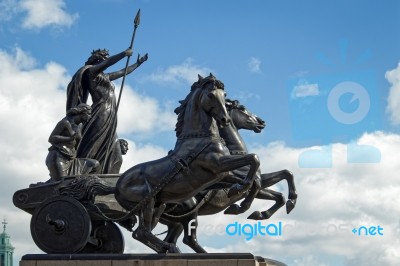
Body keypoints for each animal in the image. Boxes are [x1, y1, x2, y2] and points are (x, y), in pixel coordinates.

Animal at [114, 74, 260, 252]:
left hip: (157, 206)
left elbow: (255, 178)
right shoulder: (218, 165)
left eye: (224, 95)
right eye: (210, 95)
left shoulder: (221, 175)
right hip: (150, 201)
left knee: (147, 232)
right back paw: (169, 248)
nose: (224, 119)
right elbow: (254, 158)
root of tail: (117, 185)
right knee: (143, 232)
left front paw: (241, 198)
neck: (200, 138)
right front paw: (241, 194)